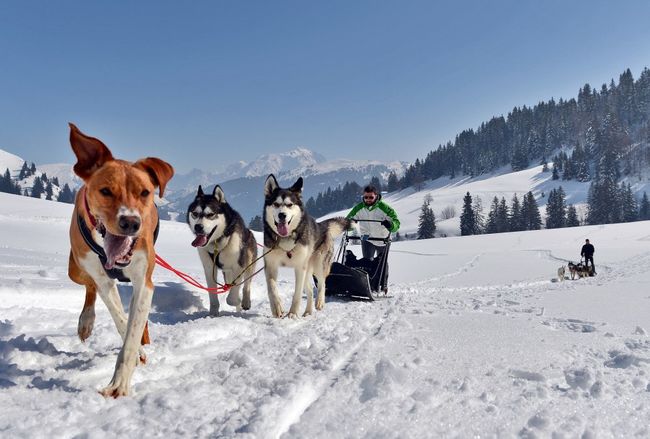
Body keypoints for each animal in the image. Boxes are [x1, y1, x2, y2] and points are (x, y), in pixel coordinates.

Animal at [66, 124, 172, 398]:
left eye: (144, 193)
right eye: (105, 191)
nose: (131, 223)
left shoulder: (144, 282)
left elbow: (132, 331)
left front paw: (119, 383)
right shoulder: (103, 280)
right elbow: (121, 319)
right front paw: (137, 354)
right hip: (75, 268)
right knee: (89, 285)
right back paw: (86, 321)